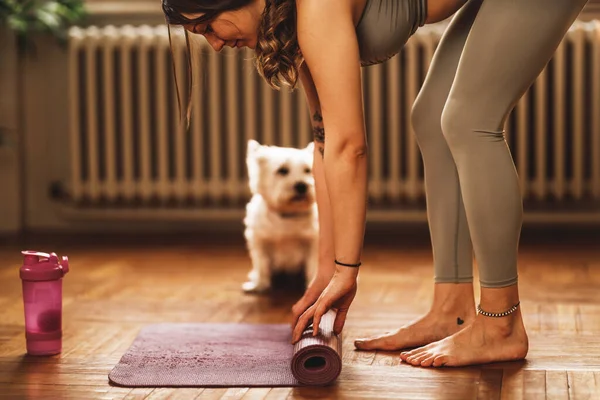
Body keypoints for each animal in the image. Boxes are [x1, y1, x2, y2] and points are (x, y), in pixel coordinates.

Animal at [243, 138, 322, 294]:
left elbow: (312, 265)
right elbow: (261, 263)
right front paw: (259, 285)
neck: (288, 213)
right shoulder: (260, 240)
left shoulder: (313, 241)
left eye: (308, 170)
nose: (301, 186)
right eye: (282, 170)